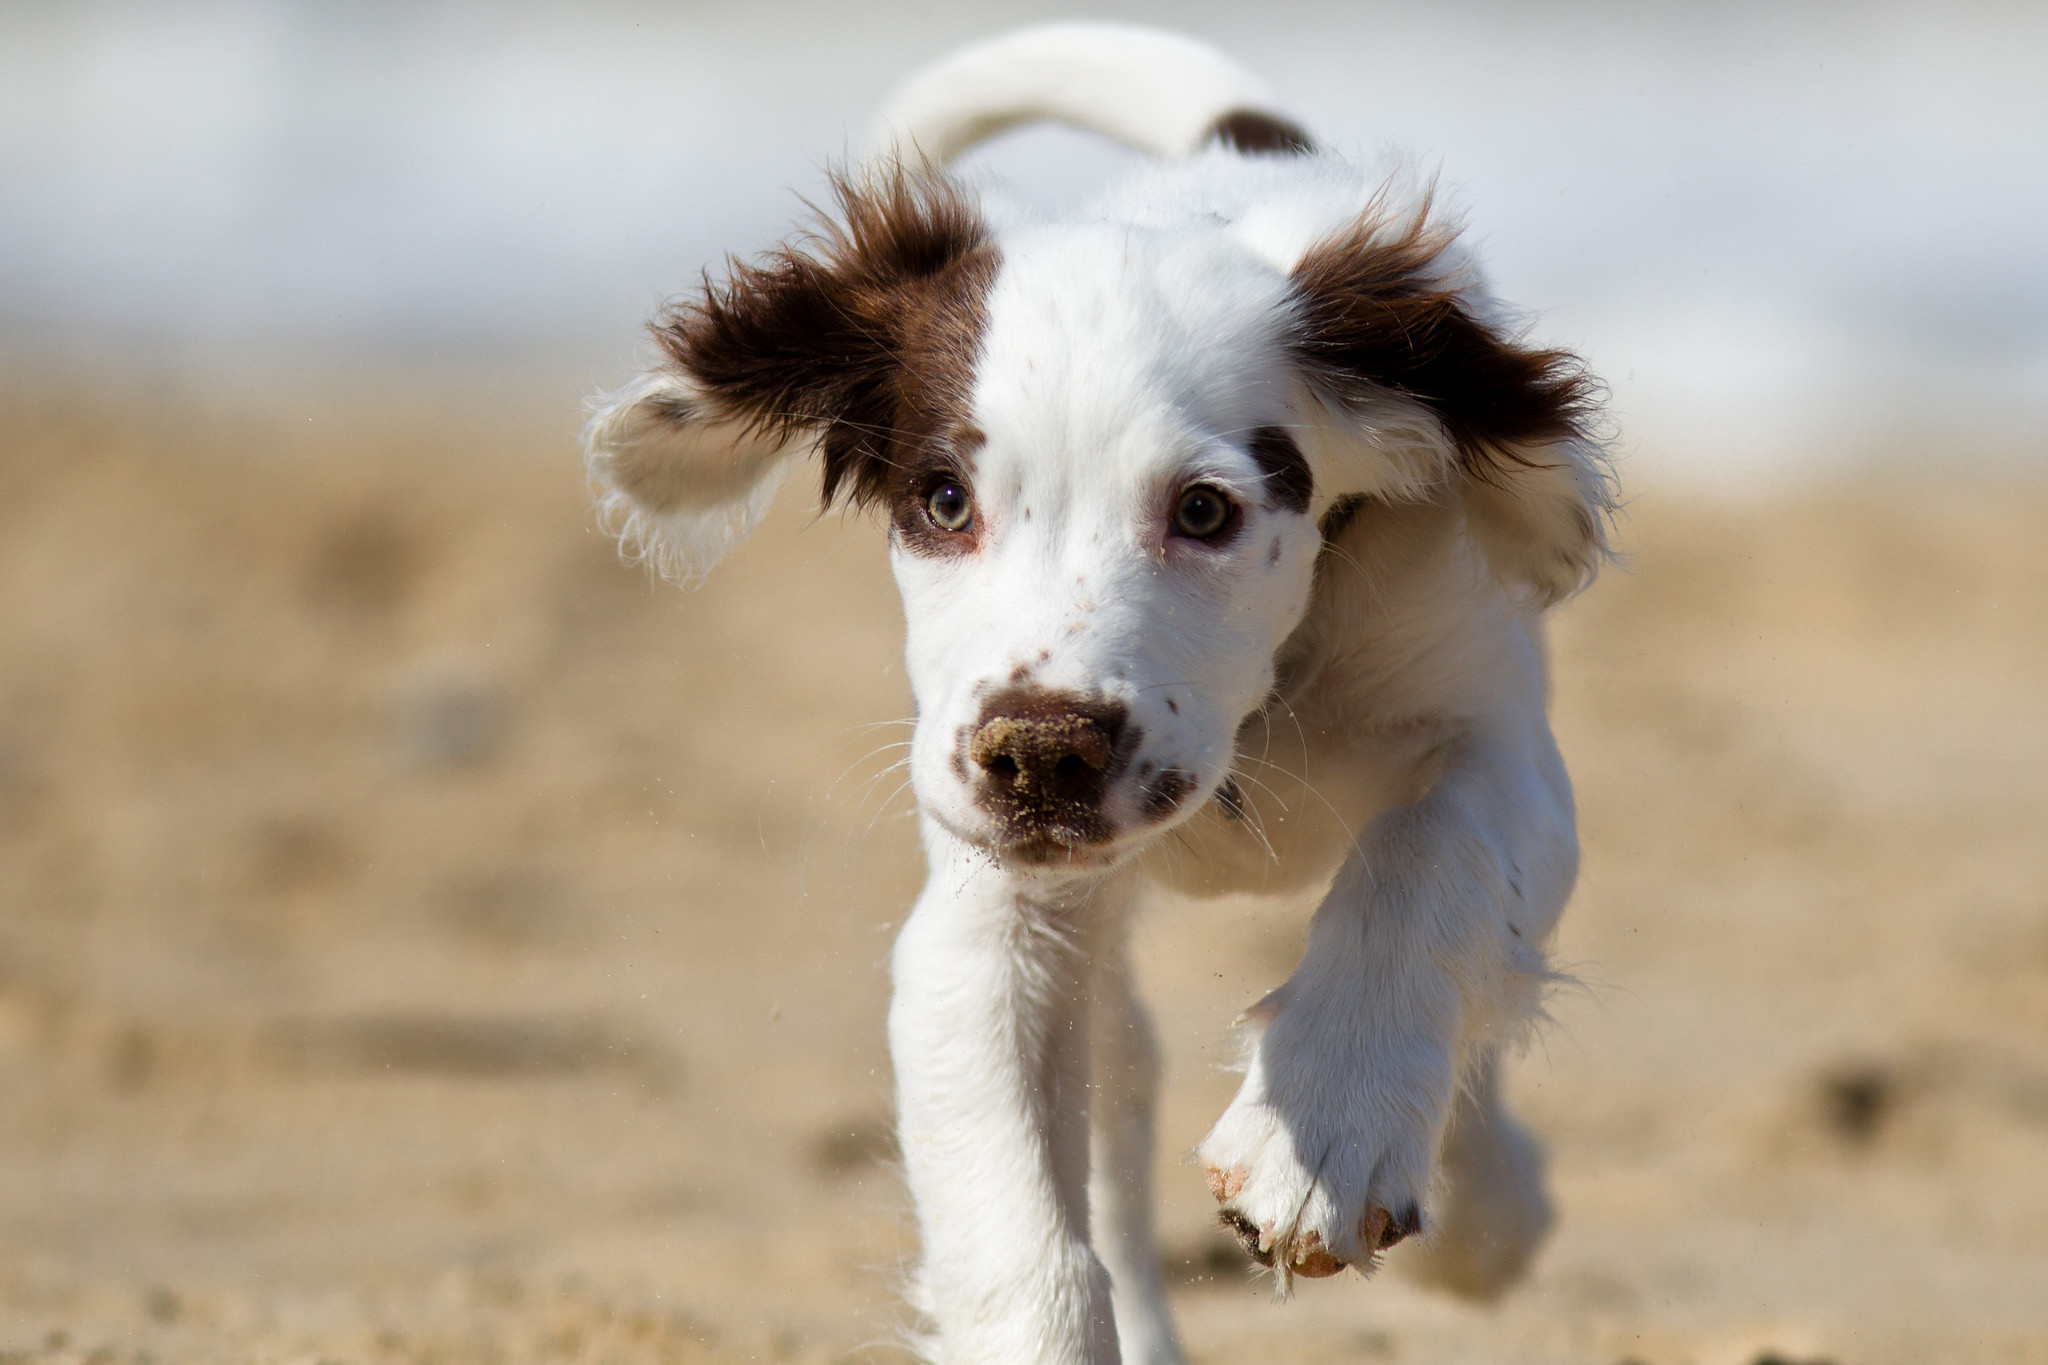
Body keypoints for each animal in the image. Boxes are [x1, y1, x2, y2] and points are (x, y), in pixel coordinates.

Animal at [581, 21, 1613, 1365]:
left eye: (1205, 513)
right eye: (943, 502)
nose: (1040, 754)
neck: (1257, 708)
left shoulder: (1500, 750)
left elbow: (1424, 862)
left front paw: (1321, 1131)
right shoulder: (988, 917)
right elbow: (1027, 1244)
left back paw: (1478, 1206)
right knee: (1119, 1119)